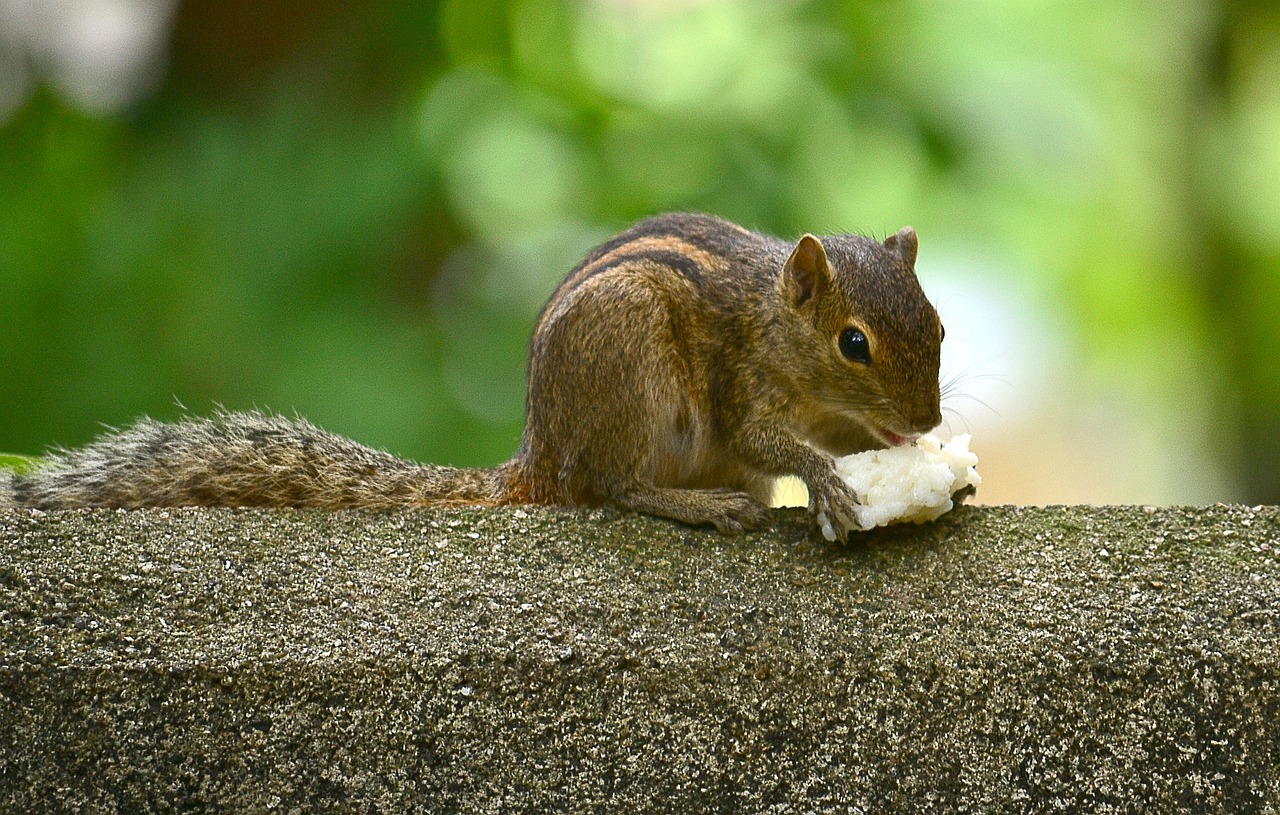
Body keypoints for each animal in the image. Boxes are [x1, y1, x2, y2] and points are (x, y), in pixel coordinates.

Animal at [0, 212, 947, 537]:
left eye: (937, 324)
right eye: (853, 343)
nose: (930, 424)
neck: (775, 317)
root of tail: (538, 457)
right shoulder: (744, 376)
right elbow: (766, 435)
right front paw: (828, 480)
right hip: (630, 364)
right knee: (611, 485)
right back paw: (701, 505)